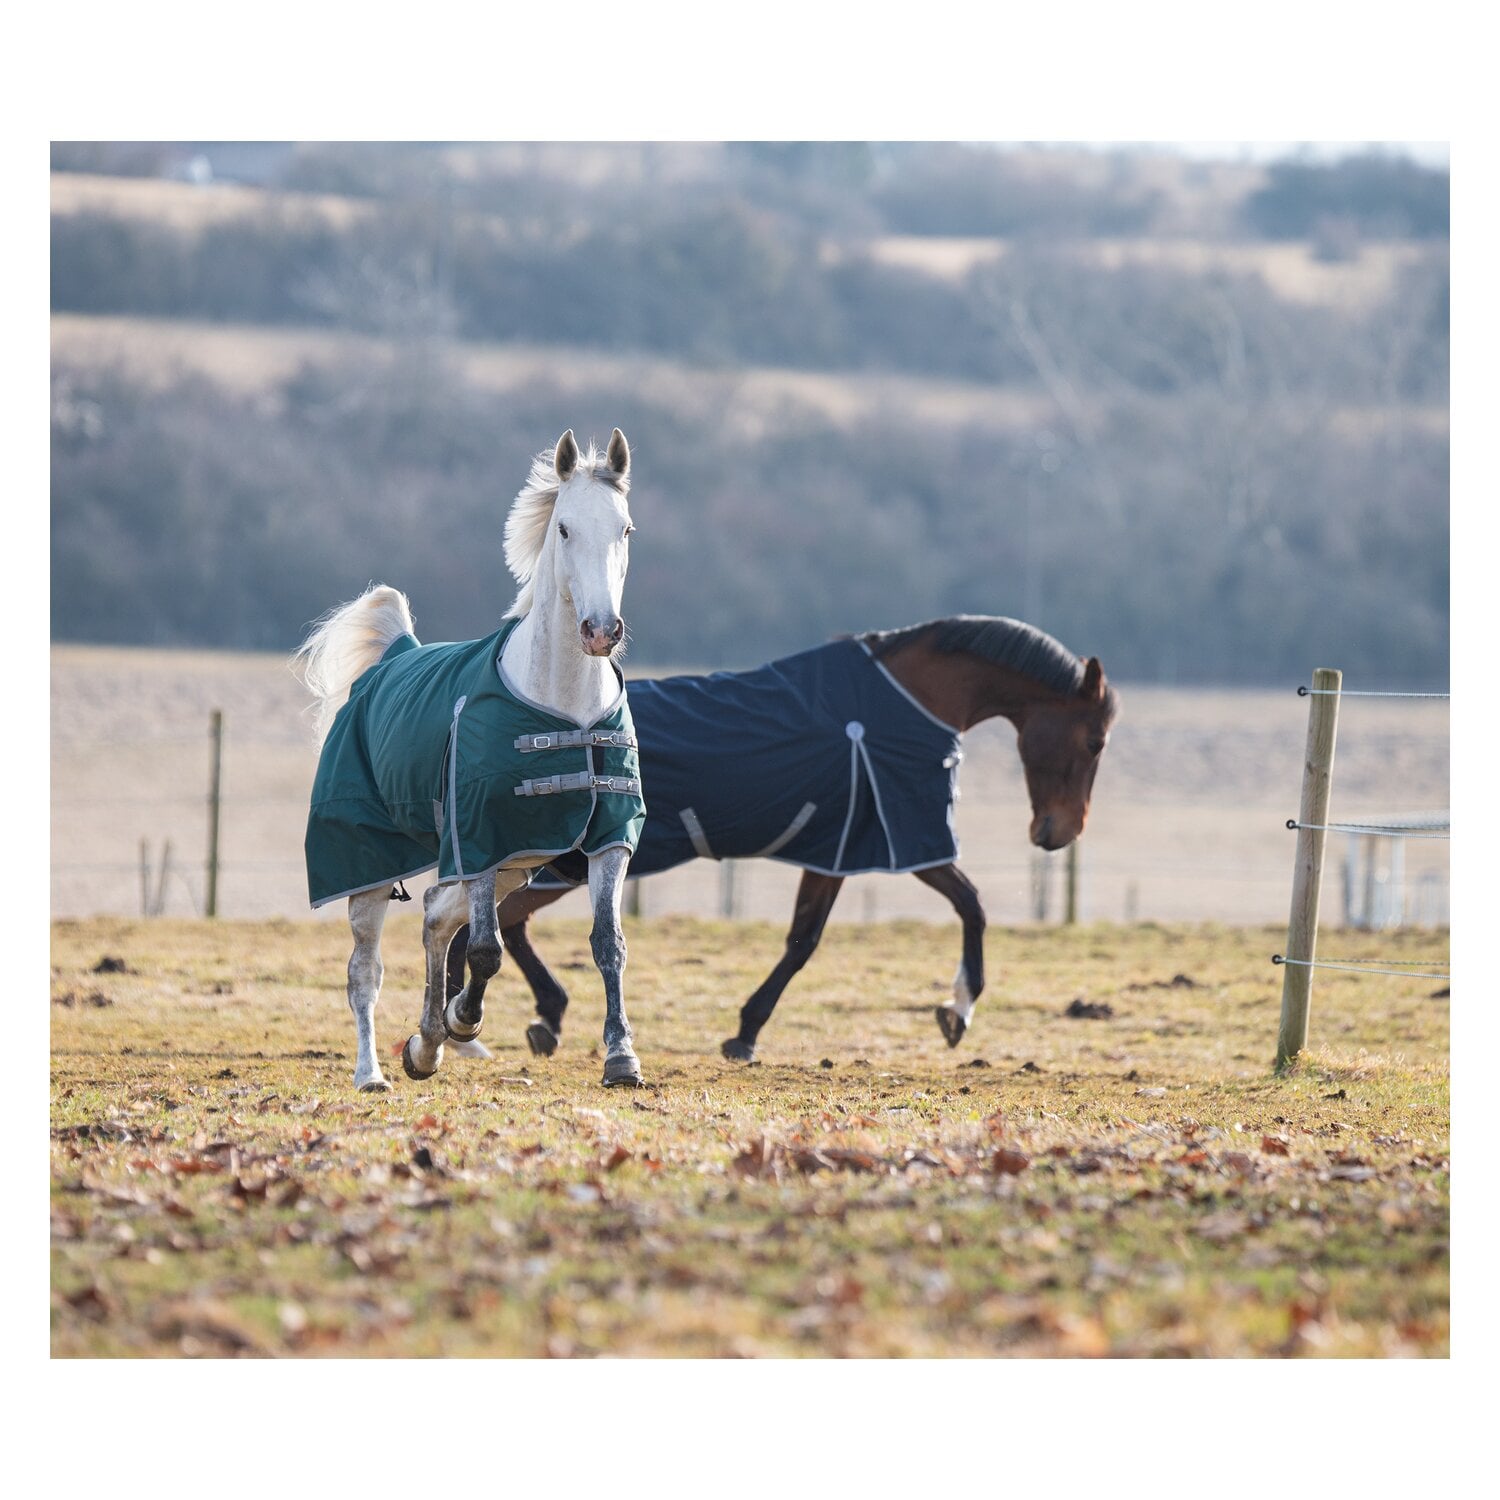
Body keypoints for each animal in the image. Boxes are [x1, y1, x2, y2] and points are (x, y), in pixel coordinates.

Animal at [294, 428, 649, 1092]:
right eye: (565, 528)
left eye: (626, 528)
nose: (600, 631)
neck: (564, 705)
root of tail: (392, 658)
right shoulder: (480, 834)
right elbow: (486, 949)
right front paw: (464, 1019)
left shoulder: (607, 836)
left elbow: (608, 943)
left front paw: (622, 1059)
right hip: (369, 867)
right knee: (365, 973)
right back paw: (374, 1070)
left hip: (518, 862)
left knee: (437, 914)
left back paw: (425, 1044)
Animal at [444, 614, 1120, 1062]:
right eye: (1094, 741)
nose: (1057, 833)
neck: (907, 703)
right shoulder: (901, 837)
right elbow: (971, 907)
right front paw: (959, 1009)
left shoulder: (837, 852)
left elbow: (802, 940)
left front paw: (746, 1030)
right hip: (565, 862)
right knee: (489, 924)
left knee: (494, 924)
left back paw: (517, 1019)